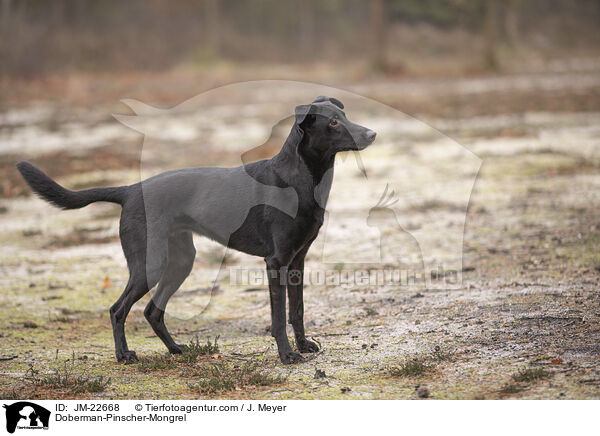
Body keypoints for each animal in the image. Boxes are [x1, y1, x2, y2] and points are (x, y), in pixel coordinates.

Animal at [15, 96, 376, 364]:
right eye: (333, 122)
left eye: (345, 114)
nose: (372, 134)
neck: (298, 180)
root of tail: (130, 190)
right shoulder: (276, 262)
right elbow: (278, 318)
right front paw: (287, 355)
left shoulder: (297, 260)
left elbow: (297, 311)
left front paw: (303, 347)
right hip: (149, 263)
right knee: (118, 309)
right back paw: (124, 355)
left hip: (180, 261)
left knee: (152, 311)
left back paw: (176, 349)